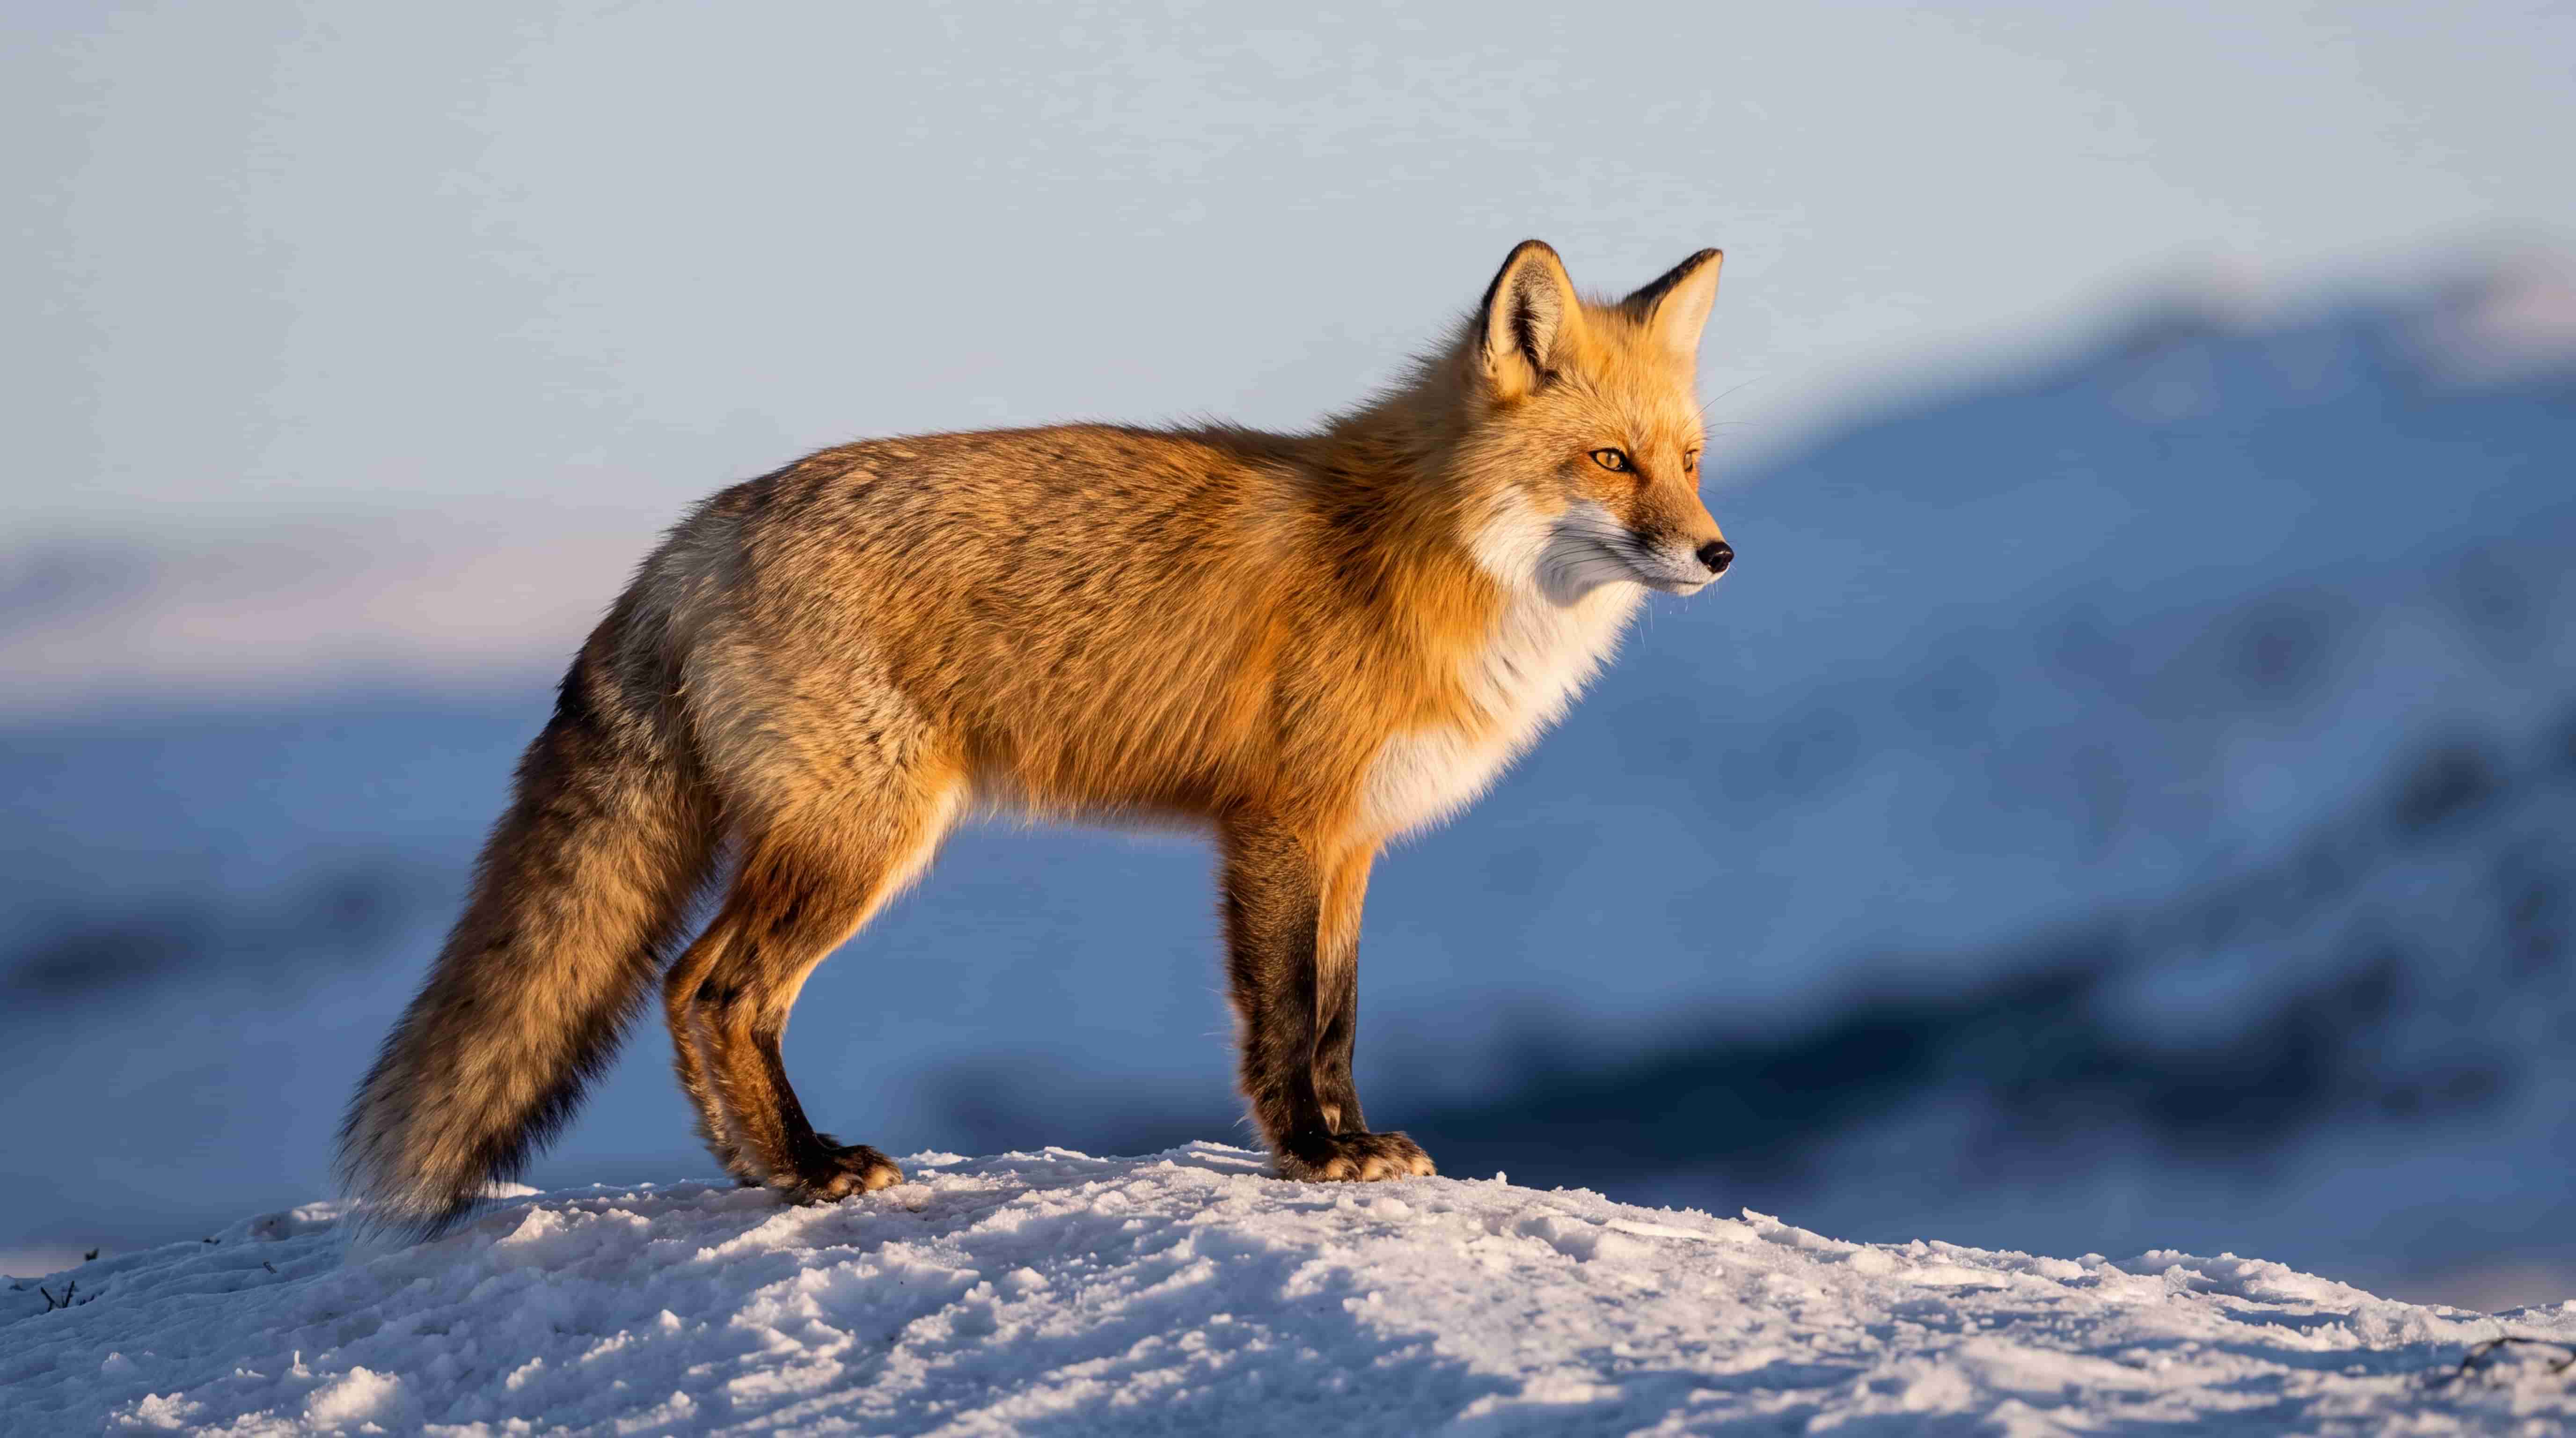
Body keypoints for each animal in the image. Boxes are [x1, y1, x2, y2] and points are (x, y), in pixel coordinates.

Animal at [339, 239, 1736, 1238]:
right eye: (1609, 461)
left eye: (1690, 460)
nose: (1720, 553)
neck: (1424, 553)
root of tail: (695, 531)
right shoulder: (1279, 829)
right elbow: (1286, 1018)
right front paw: (1311, 1153)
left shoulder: (1350, 845)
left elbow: (1337, 1014)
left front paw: (1352, 1143)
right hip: (860, 842)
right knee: (711, 989)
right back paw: (806, 1167)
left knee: (697, 994)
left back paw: (758, 1168)